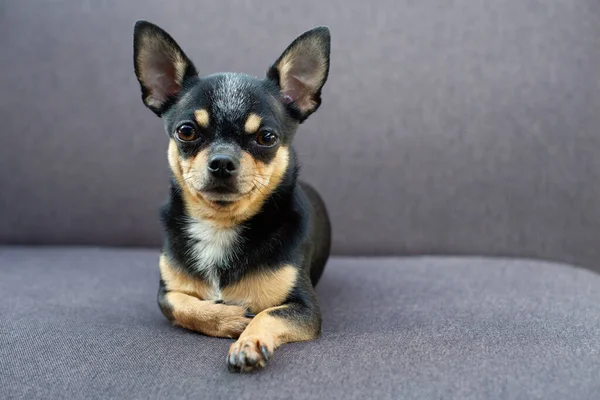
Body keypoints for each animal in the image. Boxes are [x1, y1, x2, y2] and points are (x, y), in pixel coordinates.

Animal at [132, 21, 332, 372]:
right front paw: (232, 318)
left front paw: (249, 342)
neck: (219, 225)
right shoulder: (166, 293)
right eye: (186, 131)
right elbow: (186, 306)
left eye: (267, 137)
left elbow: (269, 314)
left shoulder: (305, 308)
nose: (223, 162)